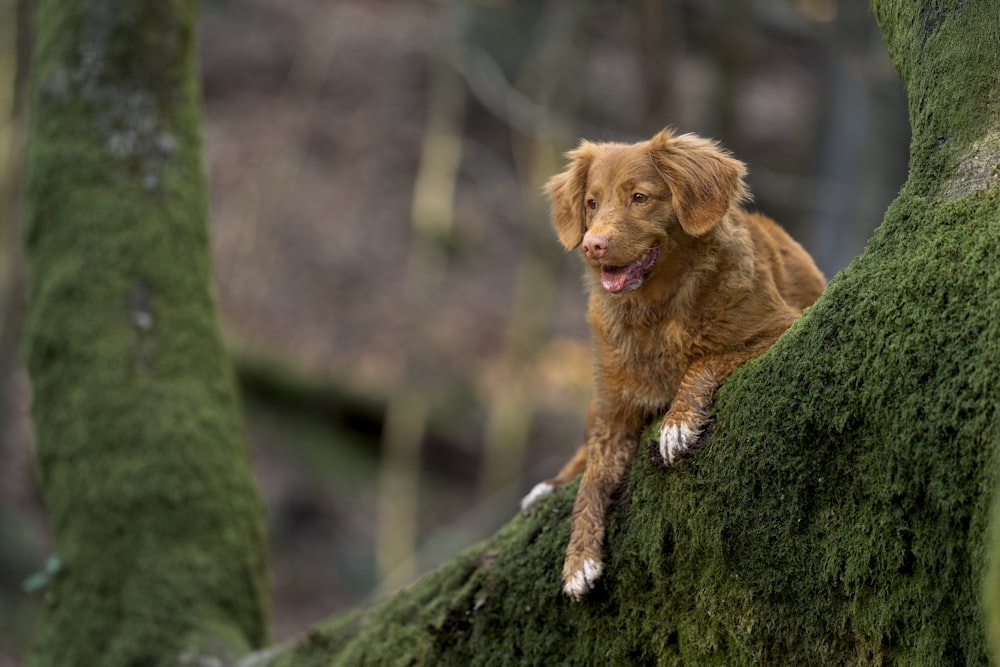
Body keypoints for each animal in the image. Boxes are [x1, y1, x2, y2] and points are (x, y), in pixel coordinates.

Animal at [520, 129, 824, 600]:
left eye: (640, 197)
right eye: (592, 202)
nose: (592, 244)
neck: (655, 310)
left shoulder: (780, 326)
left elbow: (705, 360)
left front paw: (678, 423)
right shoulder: (615, 410)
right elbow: (591, 483)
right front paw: (579, 559)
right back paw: (546, 487)